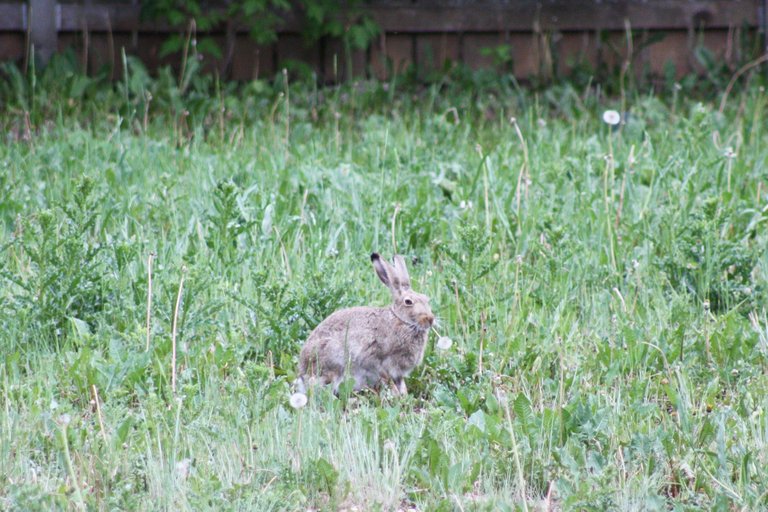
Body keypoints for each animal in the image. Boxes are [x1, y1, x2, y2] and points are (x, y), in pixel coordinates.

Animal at [296, 253, 436, 396]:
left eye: (426, 298)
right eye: (408, 302)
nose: (430, 319)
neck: (401, 321)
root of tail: (303, 373)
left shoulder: (398, 372)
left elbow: (400, 383)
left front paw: (404, 395)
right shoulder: (378, 360)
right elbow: (387, 379)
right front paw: (397, 395)